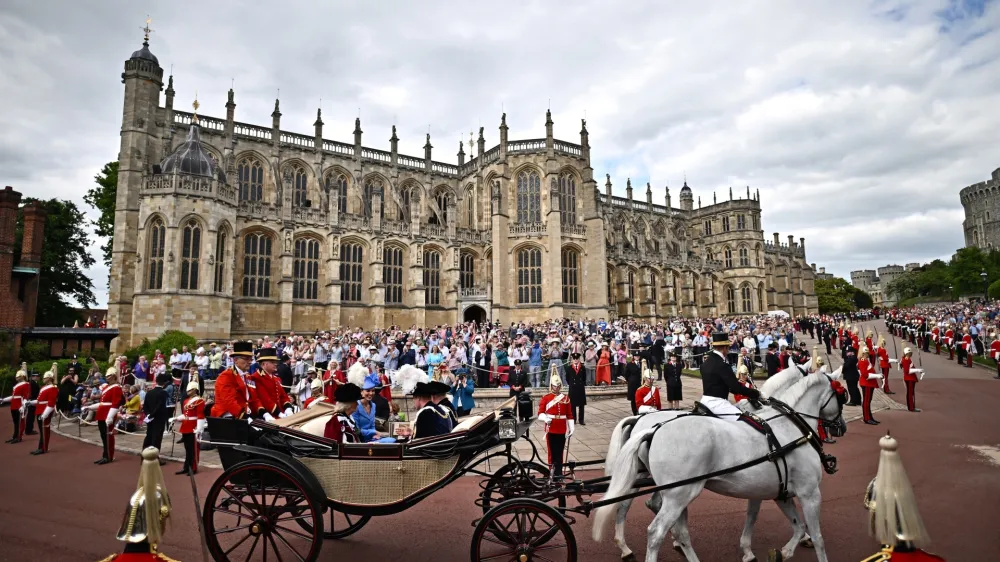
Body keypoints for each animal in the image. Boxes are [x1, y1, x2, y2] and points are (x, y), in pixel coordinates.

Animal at [592, 370, 844, 556]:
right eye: (843, 394)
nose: (841, 427)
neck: (787, 426)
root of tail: (648, 425)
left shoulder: (772, 489)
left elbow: (766, 517)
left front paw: (756, 549)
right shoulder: (808, 492)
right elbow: (816, 536)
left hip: (659, 483)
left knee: (641, 508)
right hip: (675, 489)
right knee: (650, 525)